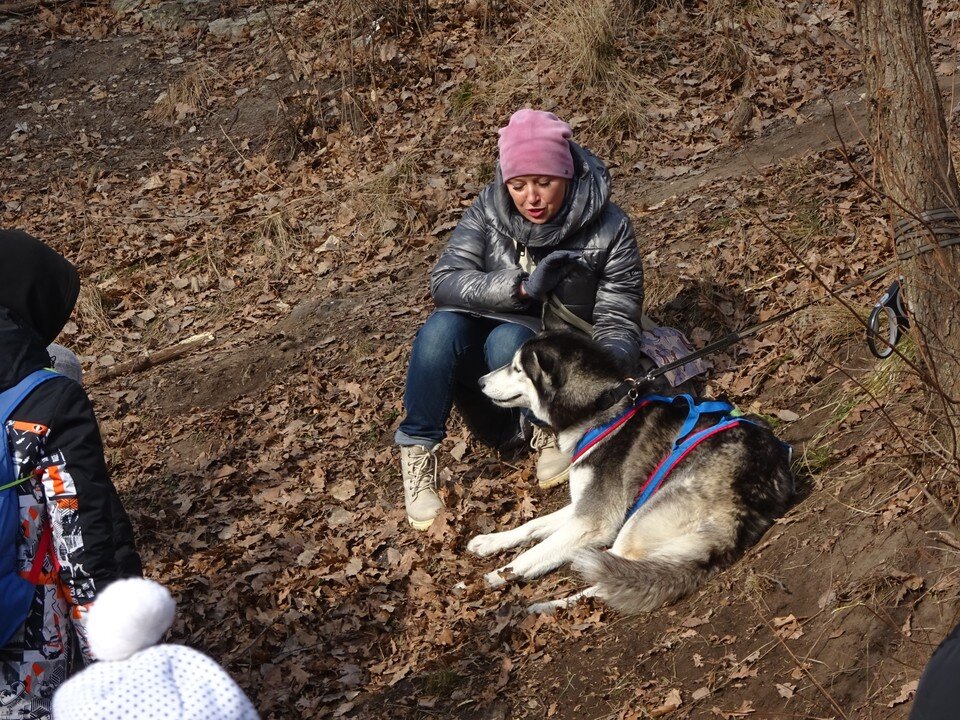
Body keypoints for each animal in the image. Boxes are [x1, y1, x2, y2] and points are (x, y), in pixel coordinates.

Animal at [466, 332, 796, 612]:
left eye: (517, 368)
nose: (479, 381)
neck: (598, 409)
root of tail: (747, 503)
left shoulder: (594, 521)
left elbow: (534, 553)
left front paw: (494, 577)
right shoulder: (585, 505)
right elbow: (532, 526)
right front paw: (489, 542)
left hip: (637, 521)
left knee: (612, 580)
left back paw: (549, 606)